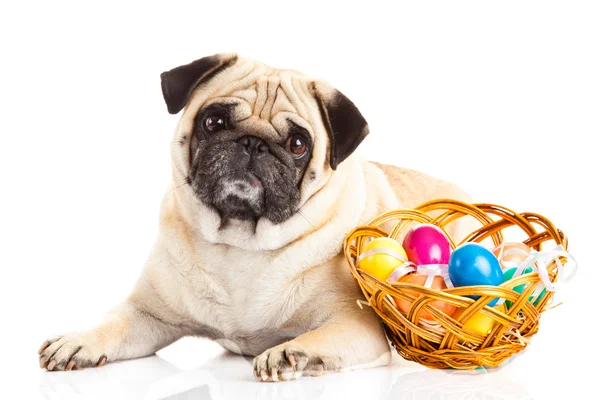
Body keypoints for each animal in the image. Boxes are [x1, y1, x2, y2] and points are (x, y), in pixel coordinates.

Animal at [37, 53, 474, 382]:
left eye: (298, 144)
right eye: (213, 122)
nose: (252, 143)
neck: (238, 244)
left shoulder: (355, 324)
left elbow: (315, 340)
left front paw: (290, 353)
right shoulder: (149, 313)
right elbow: (113, 323)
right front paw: (79, 340)